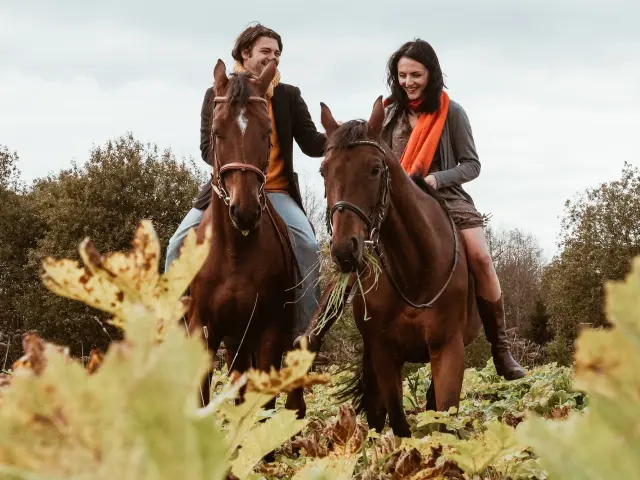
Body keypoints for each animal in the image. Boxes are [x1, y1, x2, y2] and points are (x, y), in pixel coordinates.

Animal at [188, 59, 305, 417]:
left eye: (267, 132)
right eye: (215, 131)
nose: (245, 210)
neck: (234, 252)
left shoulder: (268, 335)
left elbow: (263, 408)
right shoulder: (203, 332)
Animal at [309, 96, 482, 437]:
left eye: (375, 169)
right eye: (324, 171)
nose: (344, 249)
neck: (416, 272)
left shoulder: (448, 350)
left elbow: (444, 420)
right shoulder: (384, 354)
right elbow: (398, 422)